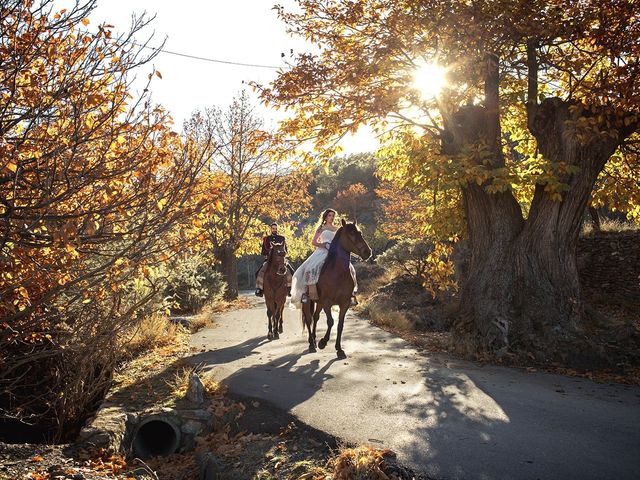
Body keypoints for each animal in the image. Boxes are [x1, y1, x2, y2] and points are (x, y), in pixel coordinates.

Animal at [304, 219, 372, 358]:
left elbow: (340, 324)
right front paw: (323, 342)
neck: (338, 274)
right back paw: (312, 344)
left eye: (360, 233)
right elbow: (331, 322)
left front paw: (339, 349)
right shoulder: (327, 302)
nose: (368, 252)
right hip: (309, 301)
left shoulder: (344, 303)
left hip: (318, 303)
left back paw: (314, 339)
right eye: (351, 234)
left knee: (315, 317)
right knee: (309, 319)